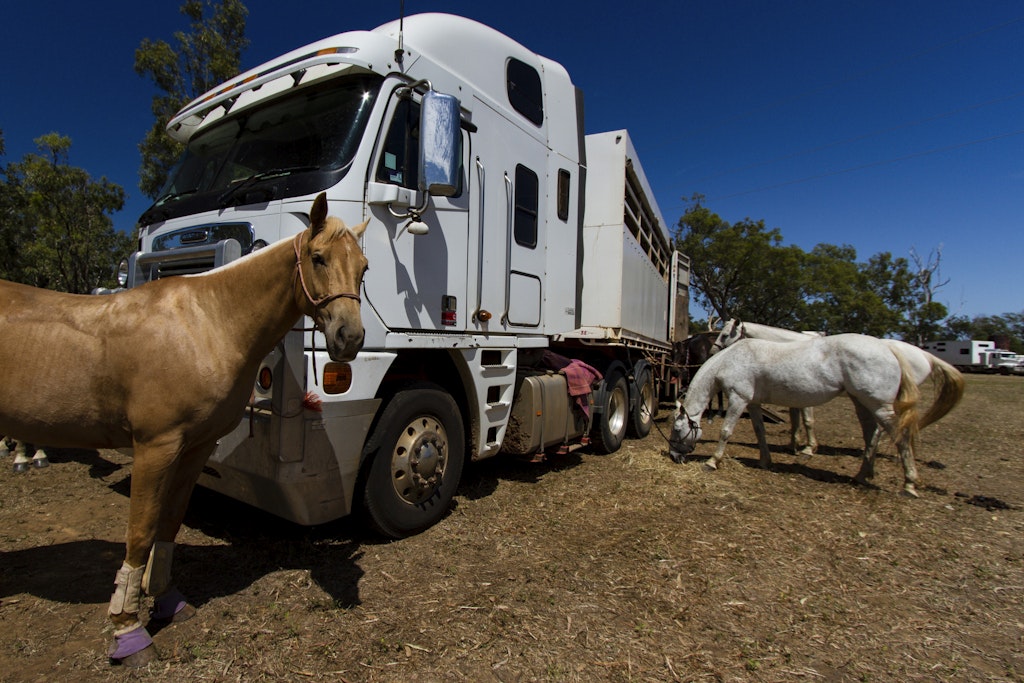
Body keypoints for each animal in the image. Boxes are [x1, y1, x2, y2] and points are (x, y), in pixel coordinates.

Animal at [0, 193, 368, 667]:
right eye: (318, 257)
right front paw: (128, 630)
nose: (349, 338)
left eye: (364, 268)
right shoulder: (154, 447)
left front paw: (166, 601)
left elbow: (170, 521)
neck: (206, 323)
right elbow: (140, 532)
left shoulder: (196, 446)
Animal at [667, 335, 962, 497]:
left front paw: (712, 461)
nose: (673, 456)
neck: (732, 358)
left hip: (879, 405)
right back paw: (862, 475)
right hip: (863, 402)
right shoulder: (754, 403)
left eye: (677, 430)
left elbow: (726, 432)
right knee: (870, 434)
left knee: (898, 436)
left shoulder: (738, 399)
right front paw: (765, 461)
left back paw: (909, 484)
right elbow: (760, 431)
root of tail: (889, 349)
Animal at [712, 321, 966, 458]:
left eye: (724, 334)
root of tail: (925, 354)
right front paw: (794, 445)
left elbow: (807, 420)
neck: (790, 346)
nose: (714, 350)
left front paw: (808, 448)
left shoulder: (805, 397)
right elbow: (795, 420)